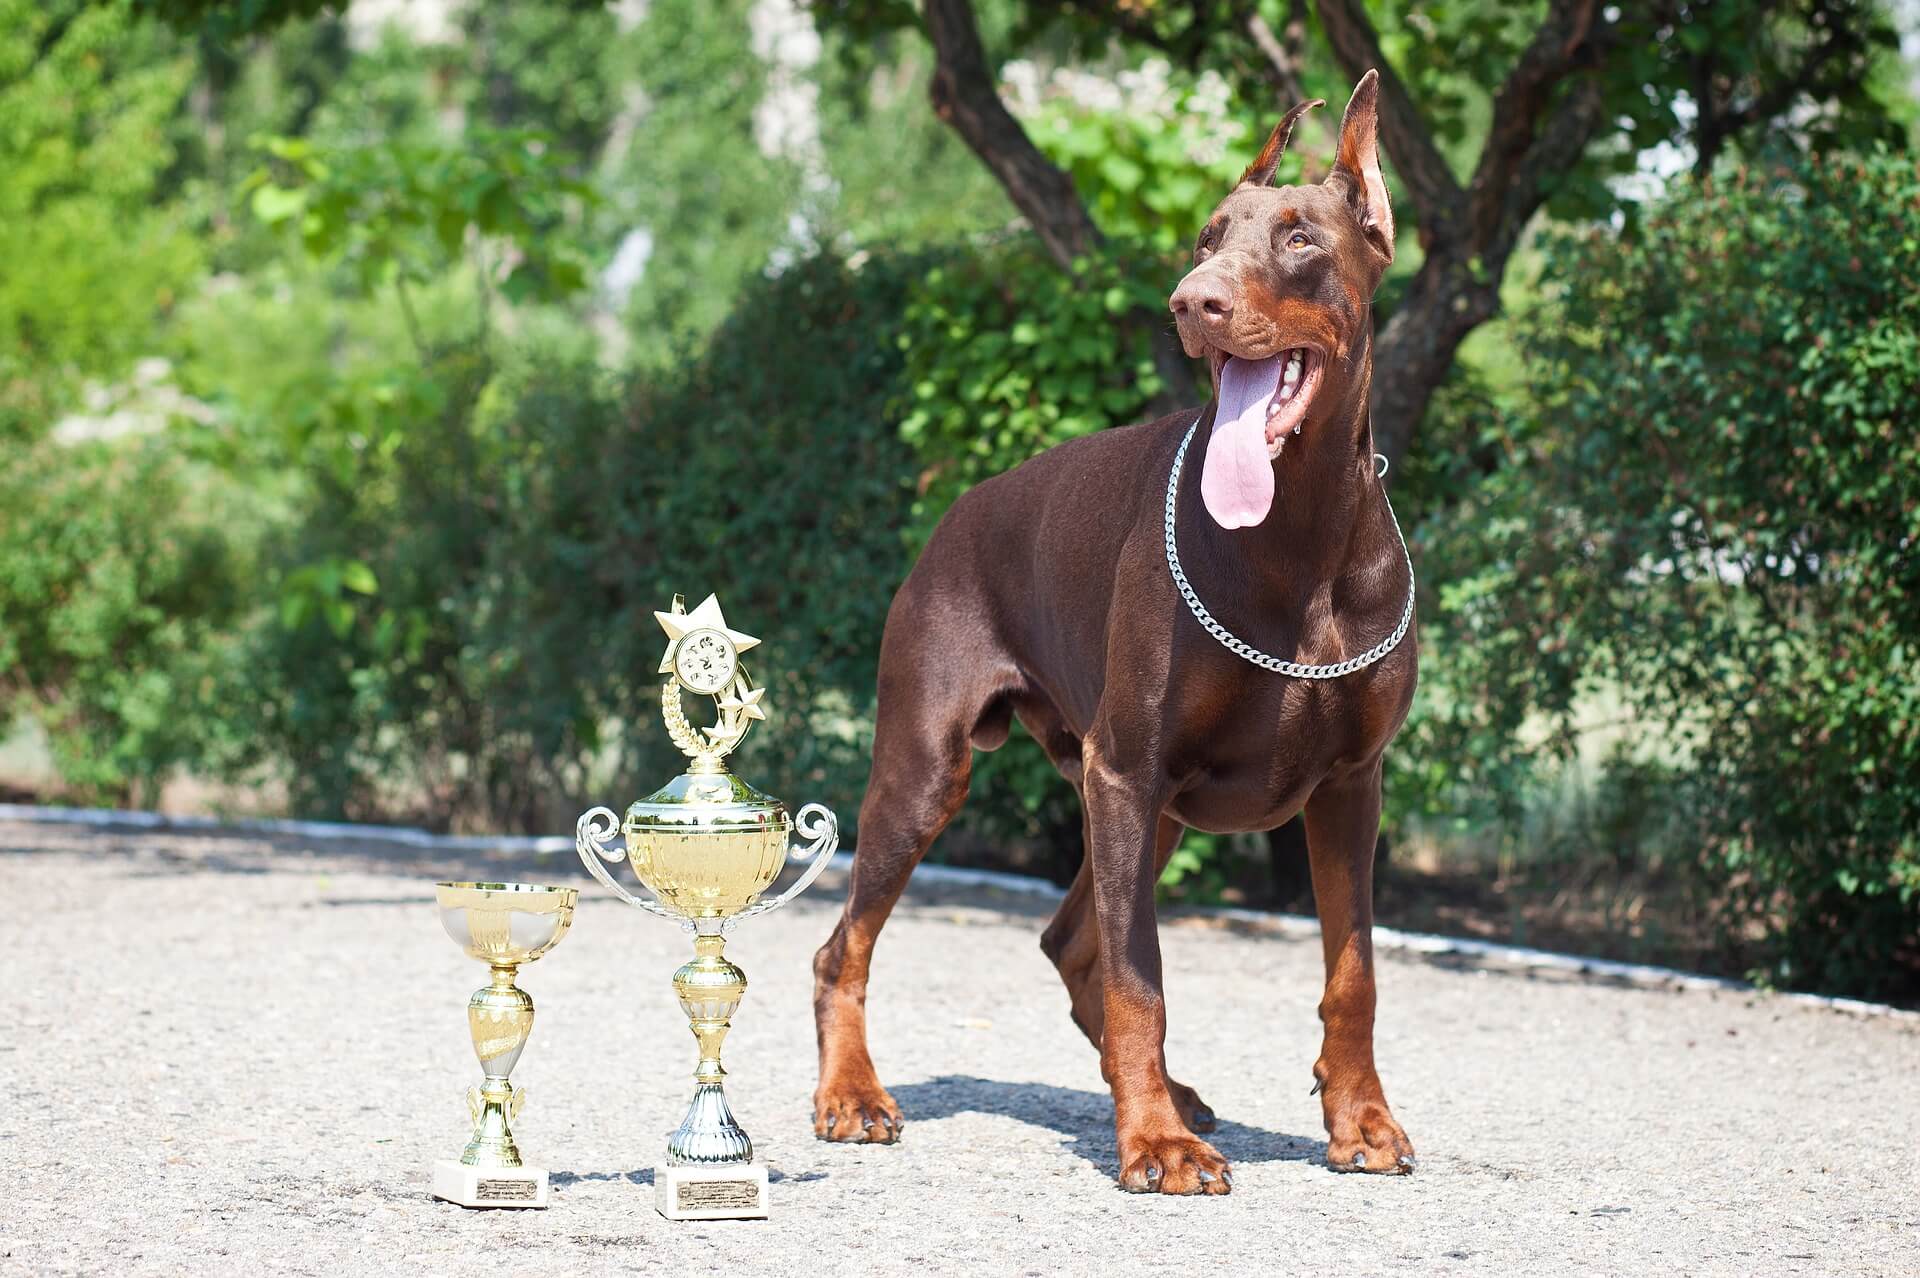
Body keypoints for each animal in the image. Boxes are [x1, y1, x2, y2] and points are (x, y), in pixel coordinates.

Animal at [810, 69, 1413, 1189]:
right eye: (1208, 234)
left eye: (1300, 237)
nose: (1192, 300)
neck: (1299, 538)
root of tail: (957, 511)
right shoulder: (1127, 768)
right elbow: (1145, 977)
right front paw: (1158, 1148)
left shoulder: (1353, 783)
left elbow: (1352, 971)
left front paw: (1359, 1120)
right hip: (937, 769)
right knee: (849, 946)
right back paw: (853, 1094)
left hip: (1149, 806)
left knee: (1070, 942)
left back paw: (1168, 1094)